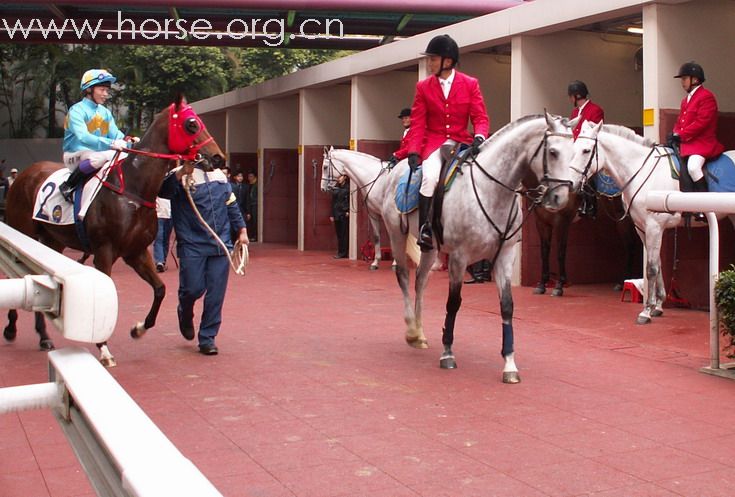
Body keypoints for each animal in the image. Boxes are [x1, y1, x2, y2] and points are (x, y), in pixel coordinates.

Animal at [2, 95, 224, 364]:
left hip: (53, 241)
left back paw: (43, 336)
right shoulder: (105, 251)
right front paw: (104, 348)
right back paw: (11, 328)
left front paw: (138, 329)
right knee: (15, 275)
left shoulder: (136, 252)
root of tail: (25, 174)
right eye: (192, 124)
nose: (218, 158)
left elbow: (160, 289)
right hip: (23, 231)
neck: (132, 190)